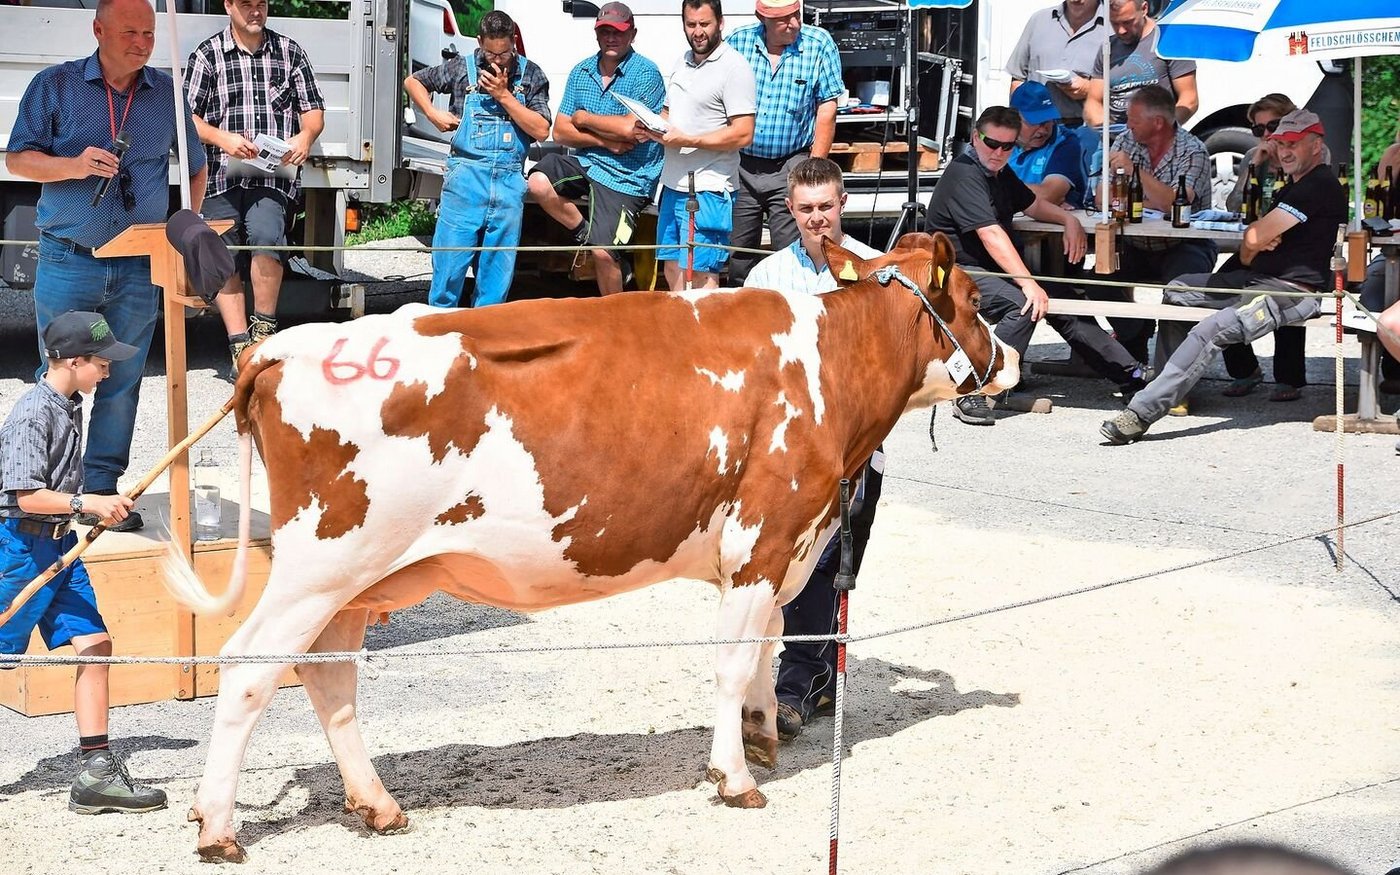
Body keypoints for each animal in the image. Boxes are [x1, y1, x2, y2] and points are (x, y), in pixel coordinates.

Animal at [162, 232, 1018, 862]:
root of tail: (288, 346)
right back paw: (218, 824)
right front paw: (735, 774)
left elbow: (767, 640)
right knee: (249, 665)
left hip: (355, 578)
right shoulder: (763, 535)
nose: (1009, 358)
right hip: (321, 562)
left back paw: (377, 804)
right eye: (978, 302)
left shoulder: (774, 547)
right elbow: (733, 657)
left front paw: (760, 730)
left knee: (328, 674)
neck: (828, 367)